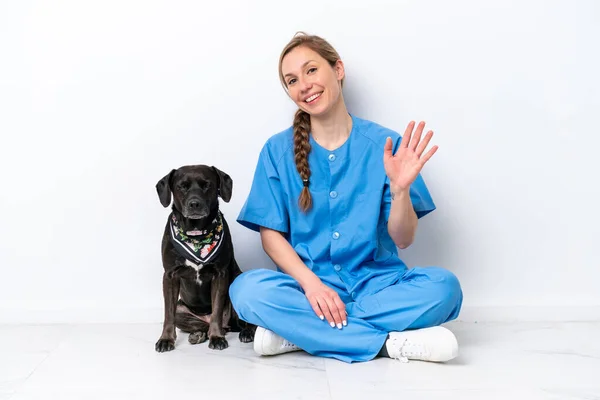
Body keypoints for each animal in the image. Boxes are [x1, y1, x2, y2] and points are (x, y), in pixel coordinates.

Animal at [154, 164, 254, 352]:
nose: (195, 204)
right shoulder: (169, 276)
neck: (196, 235)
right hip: (182, 310)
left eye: (207, 185)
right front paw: (166, 339)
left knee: (244, 323)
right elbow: (168, 314)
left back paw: (245, 333)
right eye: (182, 186)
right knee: (200, 325)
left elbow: (216, 311)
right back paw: (198, 334)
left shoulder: (220, 275)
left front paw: (217, 337)